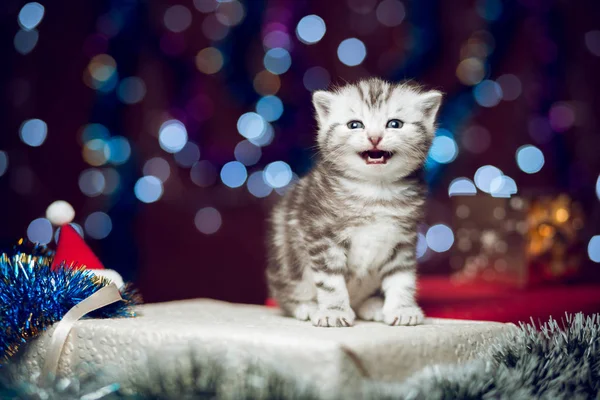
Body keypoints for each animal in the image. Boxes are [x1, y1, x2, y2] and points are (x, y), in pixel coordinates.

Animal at [268, 79, 440, 328]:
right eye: (355, 125)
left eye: (394, 124)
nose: (375, 137)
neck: (375, 191)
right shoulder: (322, 235)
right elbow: (331, 281)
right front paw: (333, 311)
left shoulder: (403, 239)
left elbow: (401, 277)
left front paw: (402, 308)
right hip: (287, 266)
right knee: (286, 294)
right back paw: (306, 307)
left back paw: (371, 305)